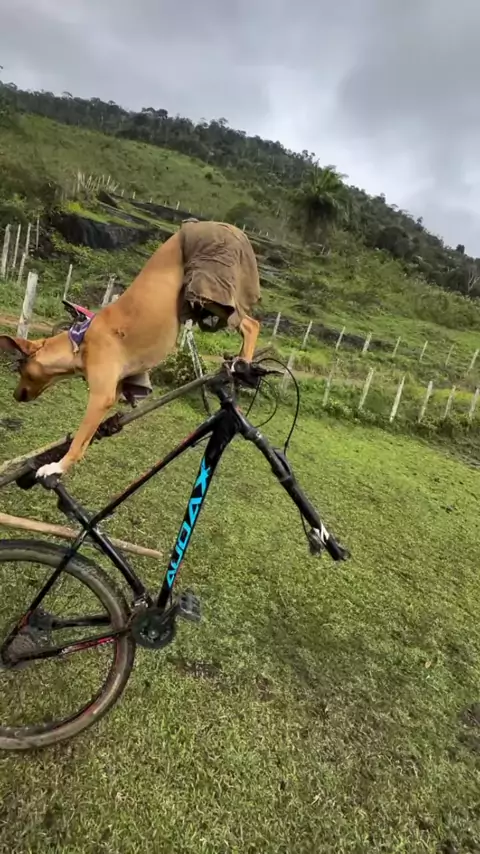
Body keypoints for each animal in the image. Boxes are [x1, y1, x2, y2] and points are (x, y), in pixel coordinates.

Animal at [0, 220, 261, 480]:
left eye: (21, 370)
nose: (15, 395)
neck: (79, 342)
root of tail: (224, 225)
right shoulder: (114, 390)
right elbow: (85, 439)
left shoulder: (101, 396)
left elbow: (78, 441)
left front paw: (58, 466)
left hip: (210, 284)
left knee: (251, 323)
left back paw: (242, 363)